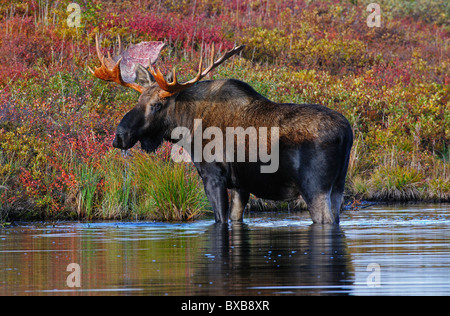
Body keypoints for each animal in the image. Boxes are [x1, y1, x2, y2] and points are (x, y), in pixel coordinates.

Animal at [89, 35, 354, 225]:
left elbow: (219, 220)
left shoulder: (213, 176)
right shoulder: (240, 186)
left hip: (314, 187)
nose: (119, 136)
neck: (187, 126)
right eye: (138, 101)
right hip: (339, 186)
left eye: (156, 105)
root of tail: (347, 133)